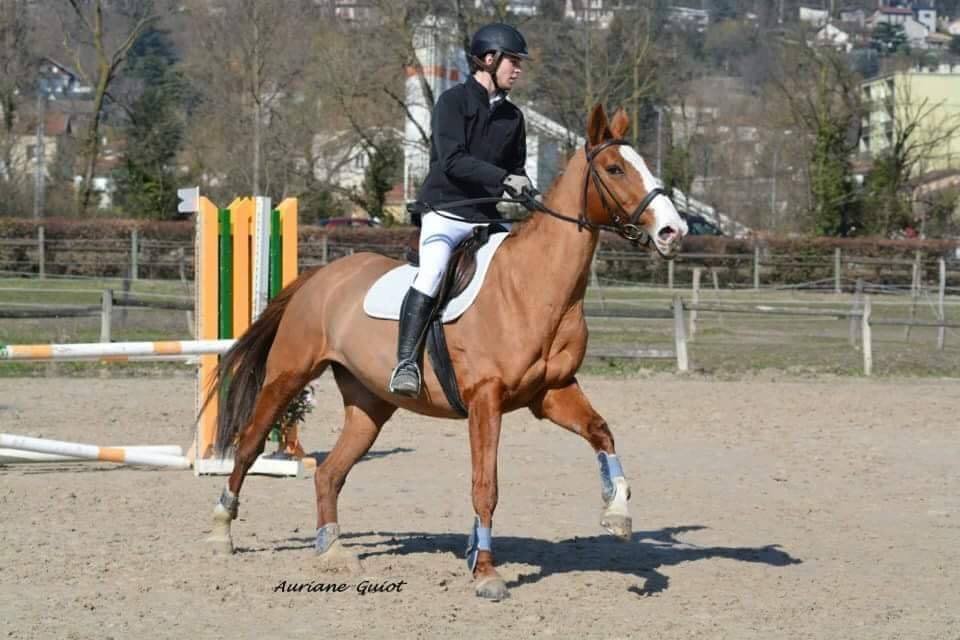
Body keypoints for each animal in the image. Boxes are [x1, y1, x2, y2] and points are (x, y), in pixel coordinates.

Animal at [206, 104, 688, 600]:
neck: (534, 286)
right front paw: (487, 573)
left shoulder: (551, 392)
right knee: (249, 445)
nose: (674, 230)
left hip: (369, 404)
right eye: (614, 169)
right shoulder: (486, 400)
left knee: (329, 472)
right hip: (288, 375)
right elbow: (485, 485)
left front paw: (617, 513)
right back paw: (222, 531)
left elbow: (601, 432)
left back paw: (331, 550)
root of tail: (321, 276)